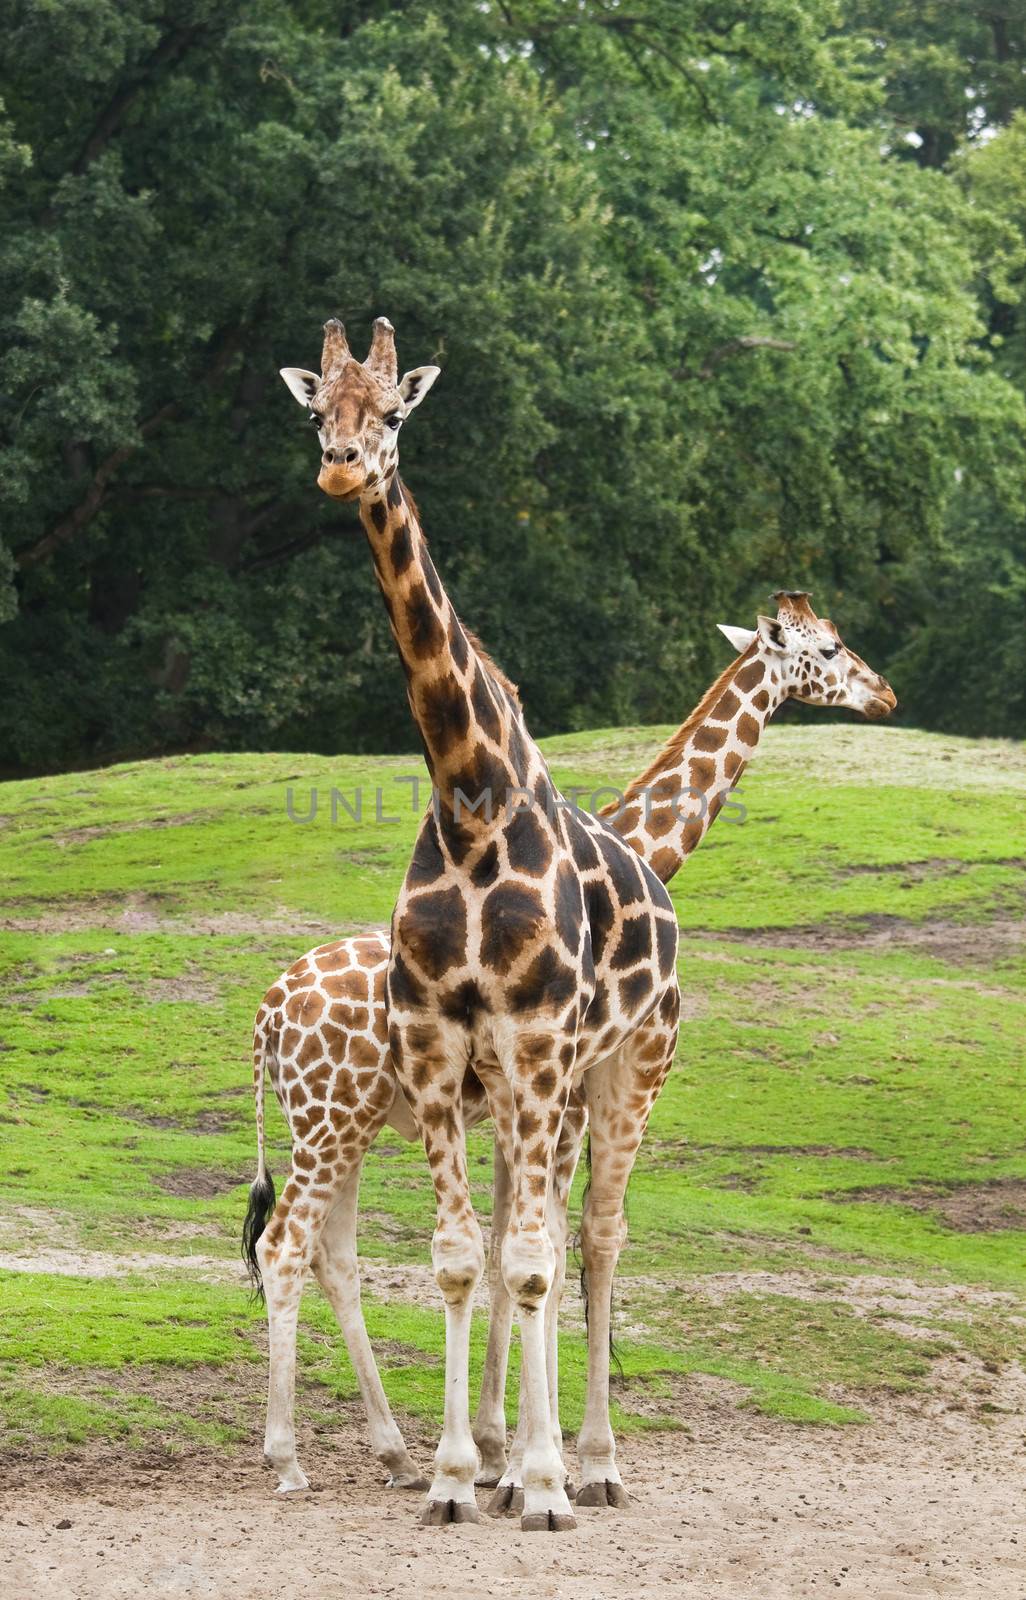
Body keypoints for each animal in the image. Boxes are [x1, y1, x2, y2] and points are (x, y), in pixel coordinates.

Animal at [243, 585, 889, 1497]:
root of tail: (267, 1013)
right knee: (285, 1246)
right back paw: (289, 1459)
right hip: (329, 1121)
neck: (637, 849)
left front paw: (495, 1451)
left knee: (330, 1256)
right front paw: (530, 1463)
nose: (883, 693)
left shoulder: (522, 1110)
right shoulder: (571, 1102)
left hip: (341, 1125)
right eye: (829, 649)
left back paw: (394, 1451)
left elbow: (510, 1245)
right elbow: (553, 1245)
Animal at [275, 318, 685, 1529]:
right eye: (317, 409)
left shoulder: (541, 1042)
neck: (471, 800)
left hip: (629, 1069)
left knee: (596, 1238)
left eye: (393, 412)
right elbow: (464, 1256)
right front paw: (459, 1475)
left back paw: (593, 1462)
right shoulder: (439, 1041)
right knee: (511, 1238)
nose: (343, 468)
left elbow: (535, 1260)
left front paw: (538, 1482)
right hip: (505, 1089)